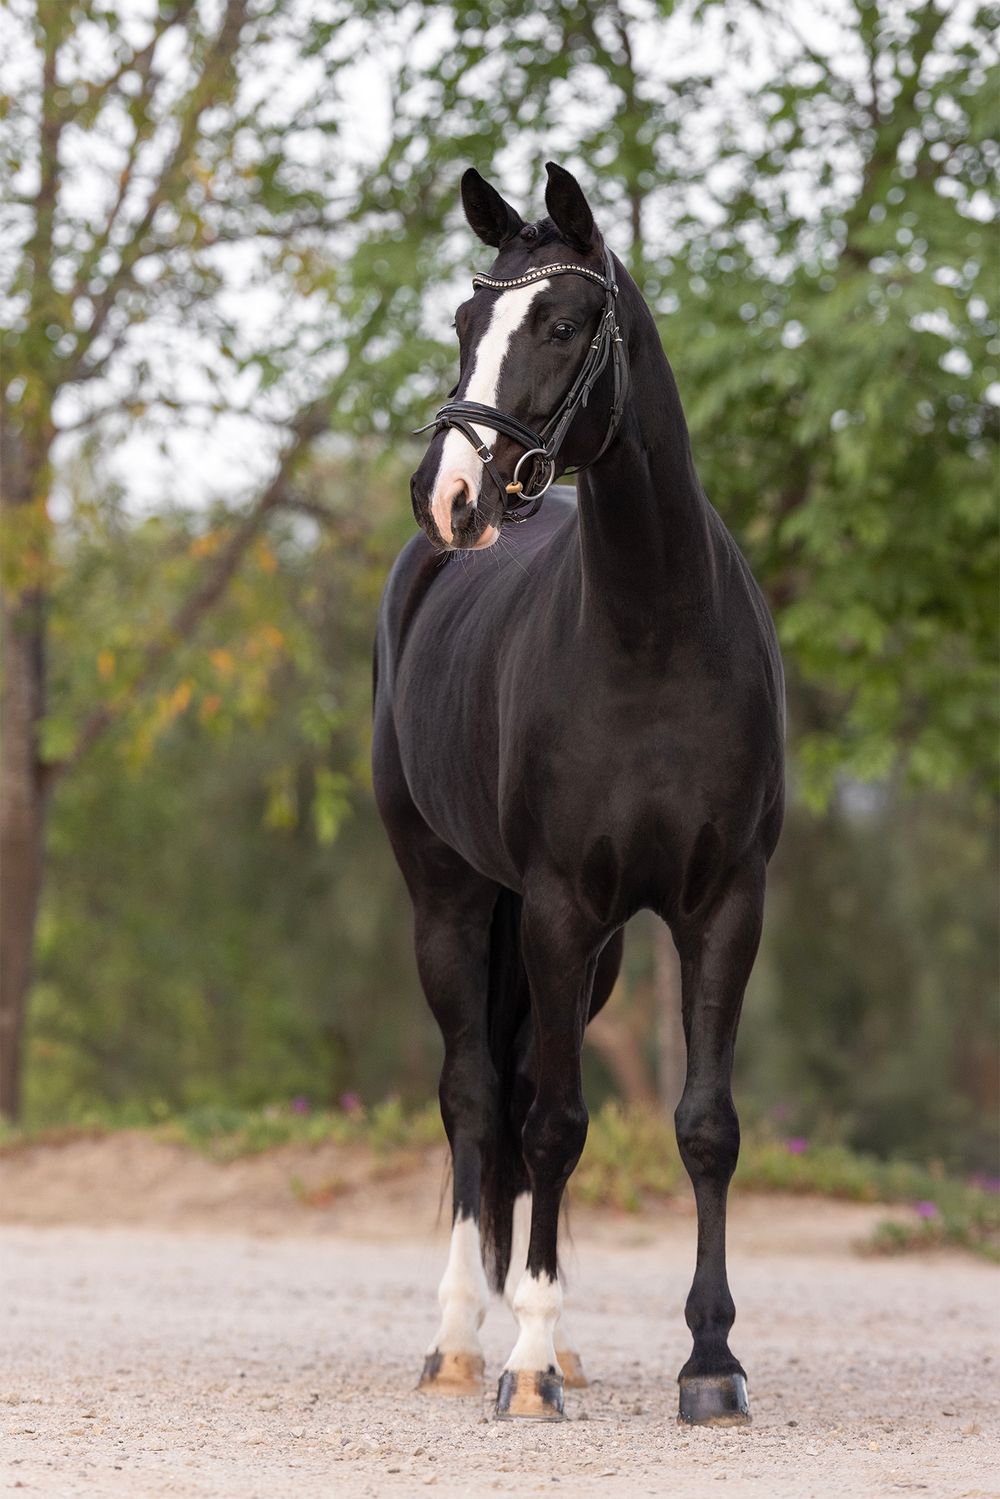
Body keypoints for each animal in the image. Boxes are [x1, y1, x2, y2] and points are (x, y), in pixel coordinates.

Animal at [372, 162, 784, 1425]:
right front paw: (525, 1365)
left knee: (510, 1093)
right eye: (467, 323)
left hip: (587, 953)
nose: (448, 491)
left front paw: (710, 1361)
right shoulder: (555, 903)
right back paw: (466, 1338)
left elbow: (705, 1127)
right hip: (453, 901)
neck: (652, 632)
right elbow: (549, 1124)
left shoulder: (721, 904)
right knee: (475, 1097)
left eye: (560, 324)